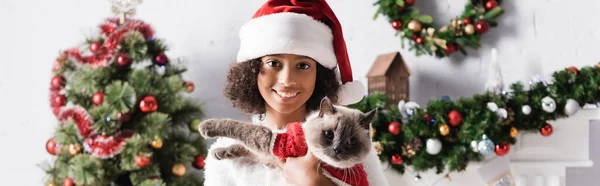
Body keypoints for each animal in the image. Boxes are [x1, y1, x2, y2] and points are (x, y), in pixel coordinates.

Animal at [197, 96, 376, 185]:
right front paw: (219, 152)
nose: (337, 149)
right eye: (329, 134)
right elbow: (242, 148)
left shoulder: (273, 142)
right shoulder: (272, 156)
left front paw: (206, 126)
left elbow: (240, 128)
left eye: (352, 142)